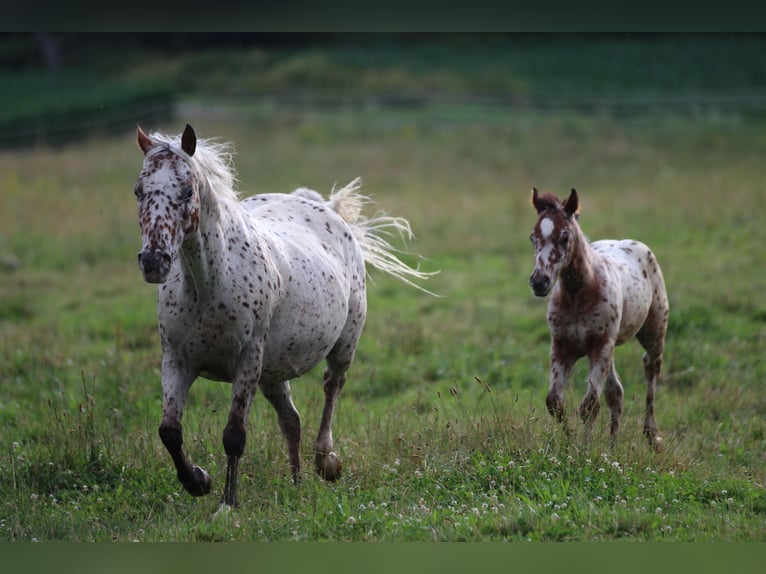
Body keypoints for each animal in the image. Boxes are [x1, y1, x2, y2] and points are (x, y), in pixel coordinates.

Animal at [532, 189, 668, 450]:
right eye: (532, 237)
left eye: (564, 237)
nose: (539, 281)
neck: (578, 295)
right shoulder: (562, 347)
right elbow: (555, 402)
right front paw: (571, 442)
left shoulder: (600, 346)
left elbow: (589, 406)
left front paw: (583, 448)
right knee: (616, 393)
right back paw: (613, 445)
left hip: (653, 331)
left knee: (651, 366)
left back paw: (651, 434)